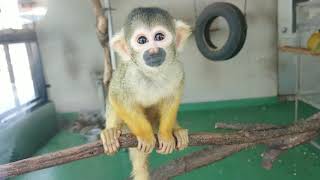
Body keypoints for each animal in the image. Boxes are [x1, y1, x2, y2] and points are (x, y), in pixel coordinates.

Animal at [100, 7, 190, 180]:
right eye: (142, 41)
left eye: (159, 37)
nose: (153, 51)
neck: (152, 73)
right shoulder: (129, 74)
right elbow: (116, 96)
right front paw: (146, 135)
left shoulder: (177, 69)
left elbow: (173, 97)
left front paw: (166, 135)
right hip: (127, 129)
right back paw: (112, 131)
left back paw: (176, 130)